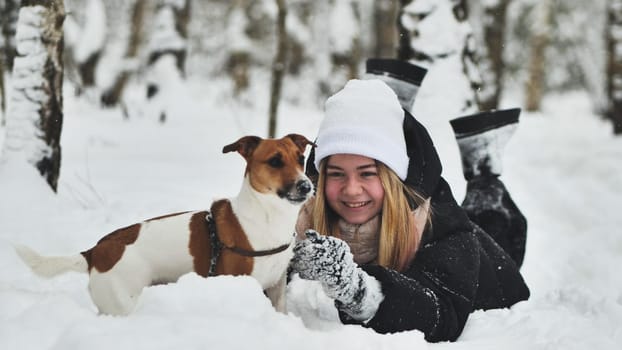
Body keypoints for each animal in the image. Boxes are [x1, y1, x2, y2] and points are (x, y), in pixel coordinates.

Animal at [14, 133, 316, 316]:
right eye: (275, 161)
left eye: (300, 159)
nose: (306, 186)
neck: (267, 216)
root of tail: (95, 252)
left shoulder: (276, 286)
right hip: (123, 302)